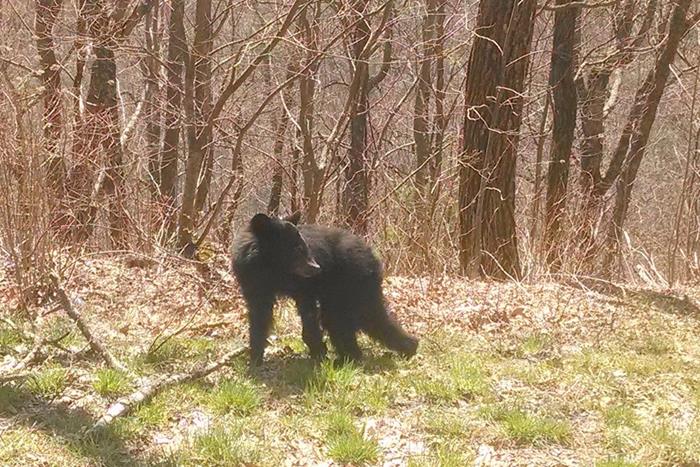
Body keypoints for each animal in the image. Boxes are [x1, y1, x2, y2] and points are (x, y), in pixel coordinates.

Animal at [231, 212, 418, 366]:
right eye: (296, 248)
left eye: (305, 246)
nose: (317, 268)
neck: (274, 270)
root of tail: (372, 255)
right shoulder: (253, 281)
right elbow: (259, 316)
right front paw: (254, 360)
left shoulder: (303, 286)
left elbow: (308, 313)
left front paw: (318, 353)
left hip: (351, 284)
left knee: (354, 318)